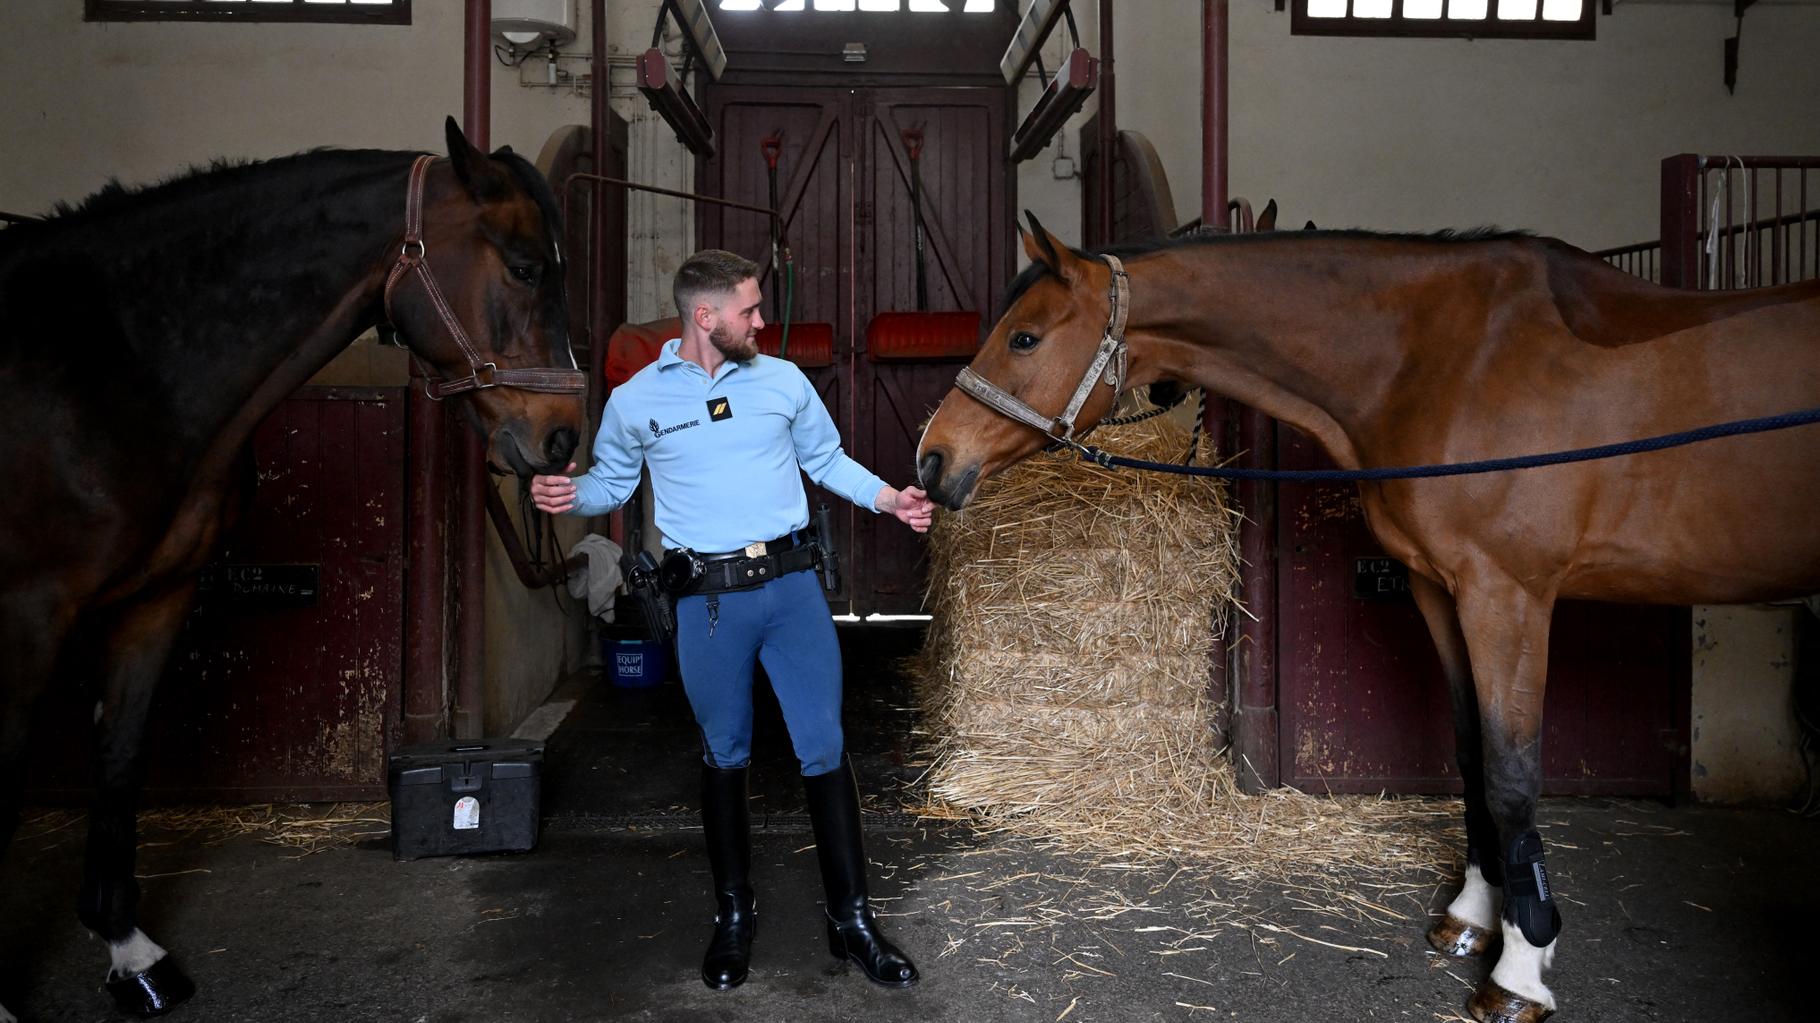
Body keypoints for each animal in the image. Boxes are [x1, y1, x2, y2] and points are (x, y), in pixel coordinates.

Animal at [0, 117, 582, 1012]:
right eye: (523, 266)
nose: (562, 436)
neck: (125, 358)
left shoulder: (156, 598)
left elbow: (122, 755)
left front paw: (134, 953)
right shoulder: (25, 612)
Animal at [917, 211, 1820, 1012]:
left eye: (1025, 338)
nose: (933, 458)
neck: (1442, 362)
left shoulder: (1507, 594)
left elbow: (1513, 773)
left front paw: (1520, 968)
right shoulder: (1438, 586)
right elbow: (1469, 752)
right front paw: (1470, 918)